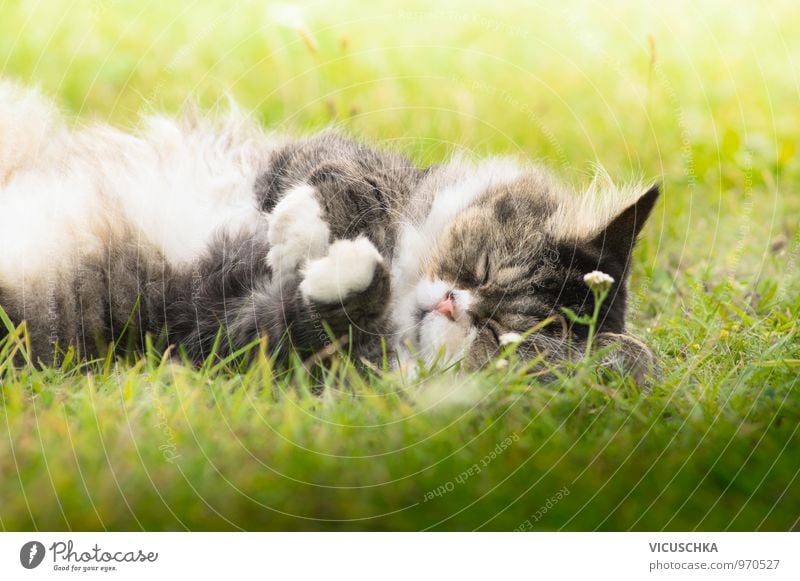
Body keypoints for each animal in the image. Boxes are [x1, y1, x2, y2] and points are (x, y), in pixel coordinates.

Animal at [1, 81, 656, 378]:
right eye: (483, 271)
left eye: (499, 338)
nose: (452, 303)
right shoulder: (313, 158)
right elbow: (342, 186)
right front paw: (301, 228)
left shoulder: (220, 333)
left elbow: (320, 312)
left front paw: (342, 266)